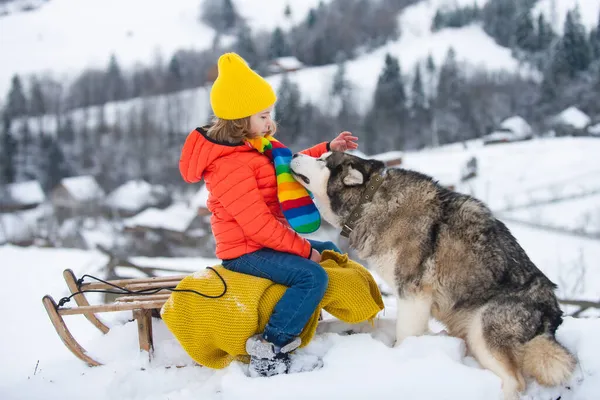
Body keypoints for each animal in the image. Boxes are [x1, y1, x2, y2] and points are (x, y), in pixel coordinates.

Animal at [290, 152, 576, 400]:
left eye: (322, 161)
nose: (293, 154)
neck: (369, 201)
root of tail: (553, 316)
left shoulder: (412, 294)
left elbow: (405, 335)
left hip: (483, 330)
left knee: (515, 382)